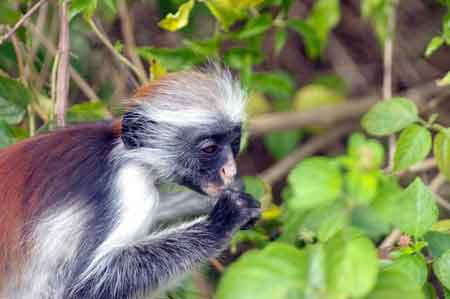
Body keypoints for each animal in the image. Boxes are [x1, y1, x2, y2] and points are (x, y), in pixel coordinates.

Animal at [0, 68, 260, 299]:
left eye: (234, 143)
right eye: (210, 149)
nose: (230, 169)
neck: (122, 150)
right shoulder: (130, 185)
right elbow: (81, 289)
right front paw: (224, 219)